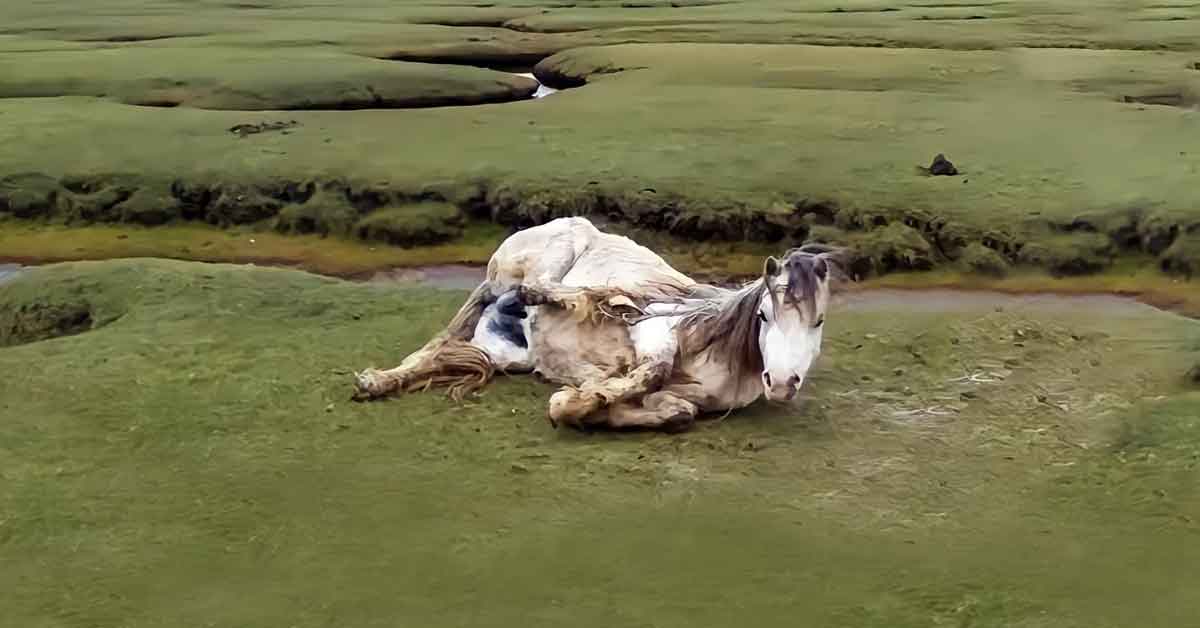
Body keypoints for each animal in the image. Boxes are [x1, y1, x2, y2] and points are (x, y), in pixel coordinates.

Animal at [352, 216, 835, 432]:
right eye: (764, 314)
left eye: (818, 321)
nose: (782, 383)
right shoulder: (655, 334)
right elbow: (648, 372)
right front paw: (579, 399)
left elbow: (678, 411)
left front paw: (608, 404)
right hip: (525, 267)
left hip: (505, 352)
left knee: (441, 352)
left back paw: (378, 382)